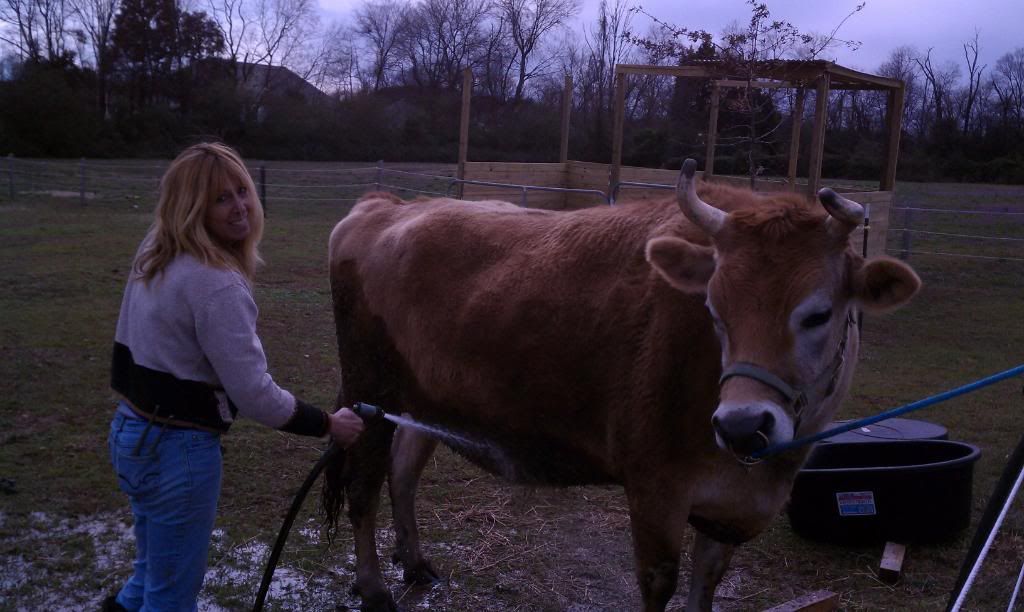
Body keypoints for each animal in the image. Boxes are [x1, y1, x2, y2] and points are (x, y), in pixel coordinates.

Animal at [322, 159, 920, 611]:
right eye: (713, 309)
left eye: (819, 314)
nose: (742, 425)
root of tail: (388, 206)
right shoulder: (655, 489)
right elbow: (659, 584)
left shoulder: (726, 510)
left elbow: (705, 585)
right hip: (368, 390)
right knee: (362, 485)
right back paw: (373, 587)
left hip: (424, 398)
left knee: (402, 472)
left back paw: (415, 563)